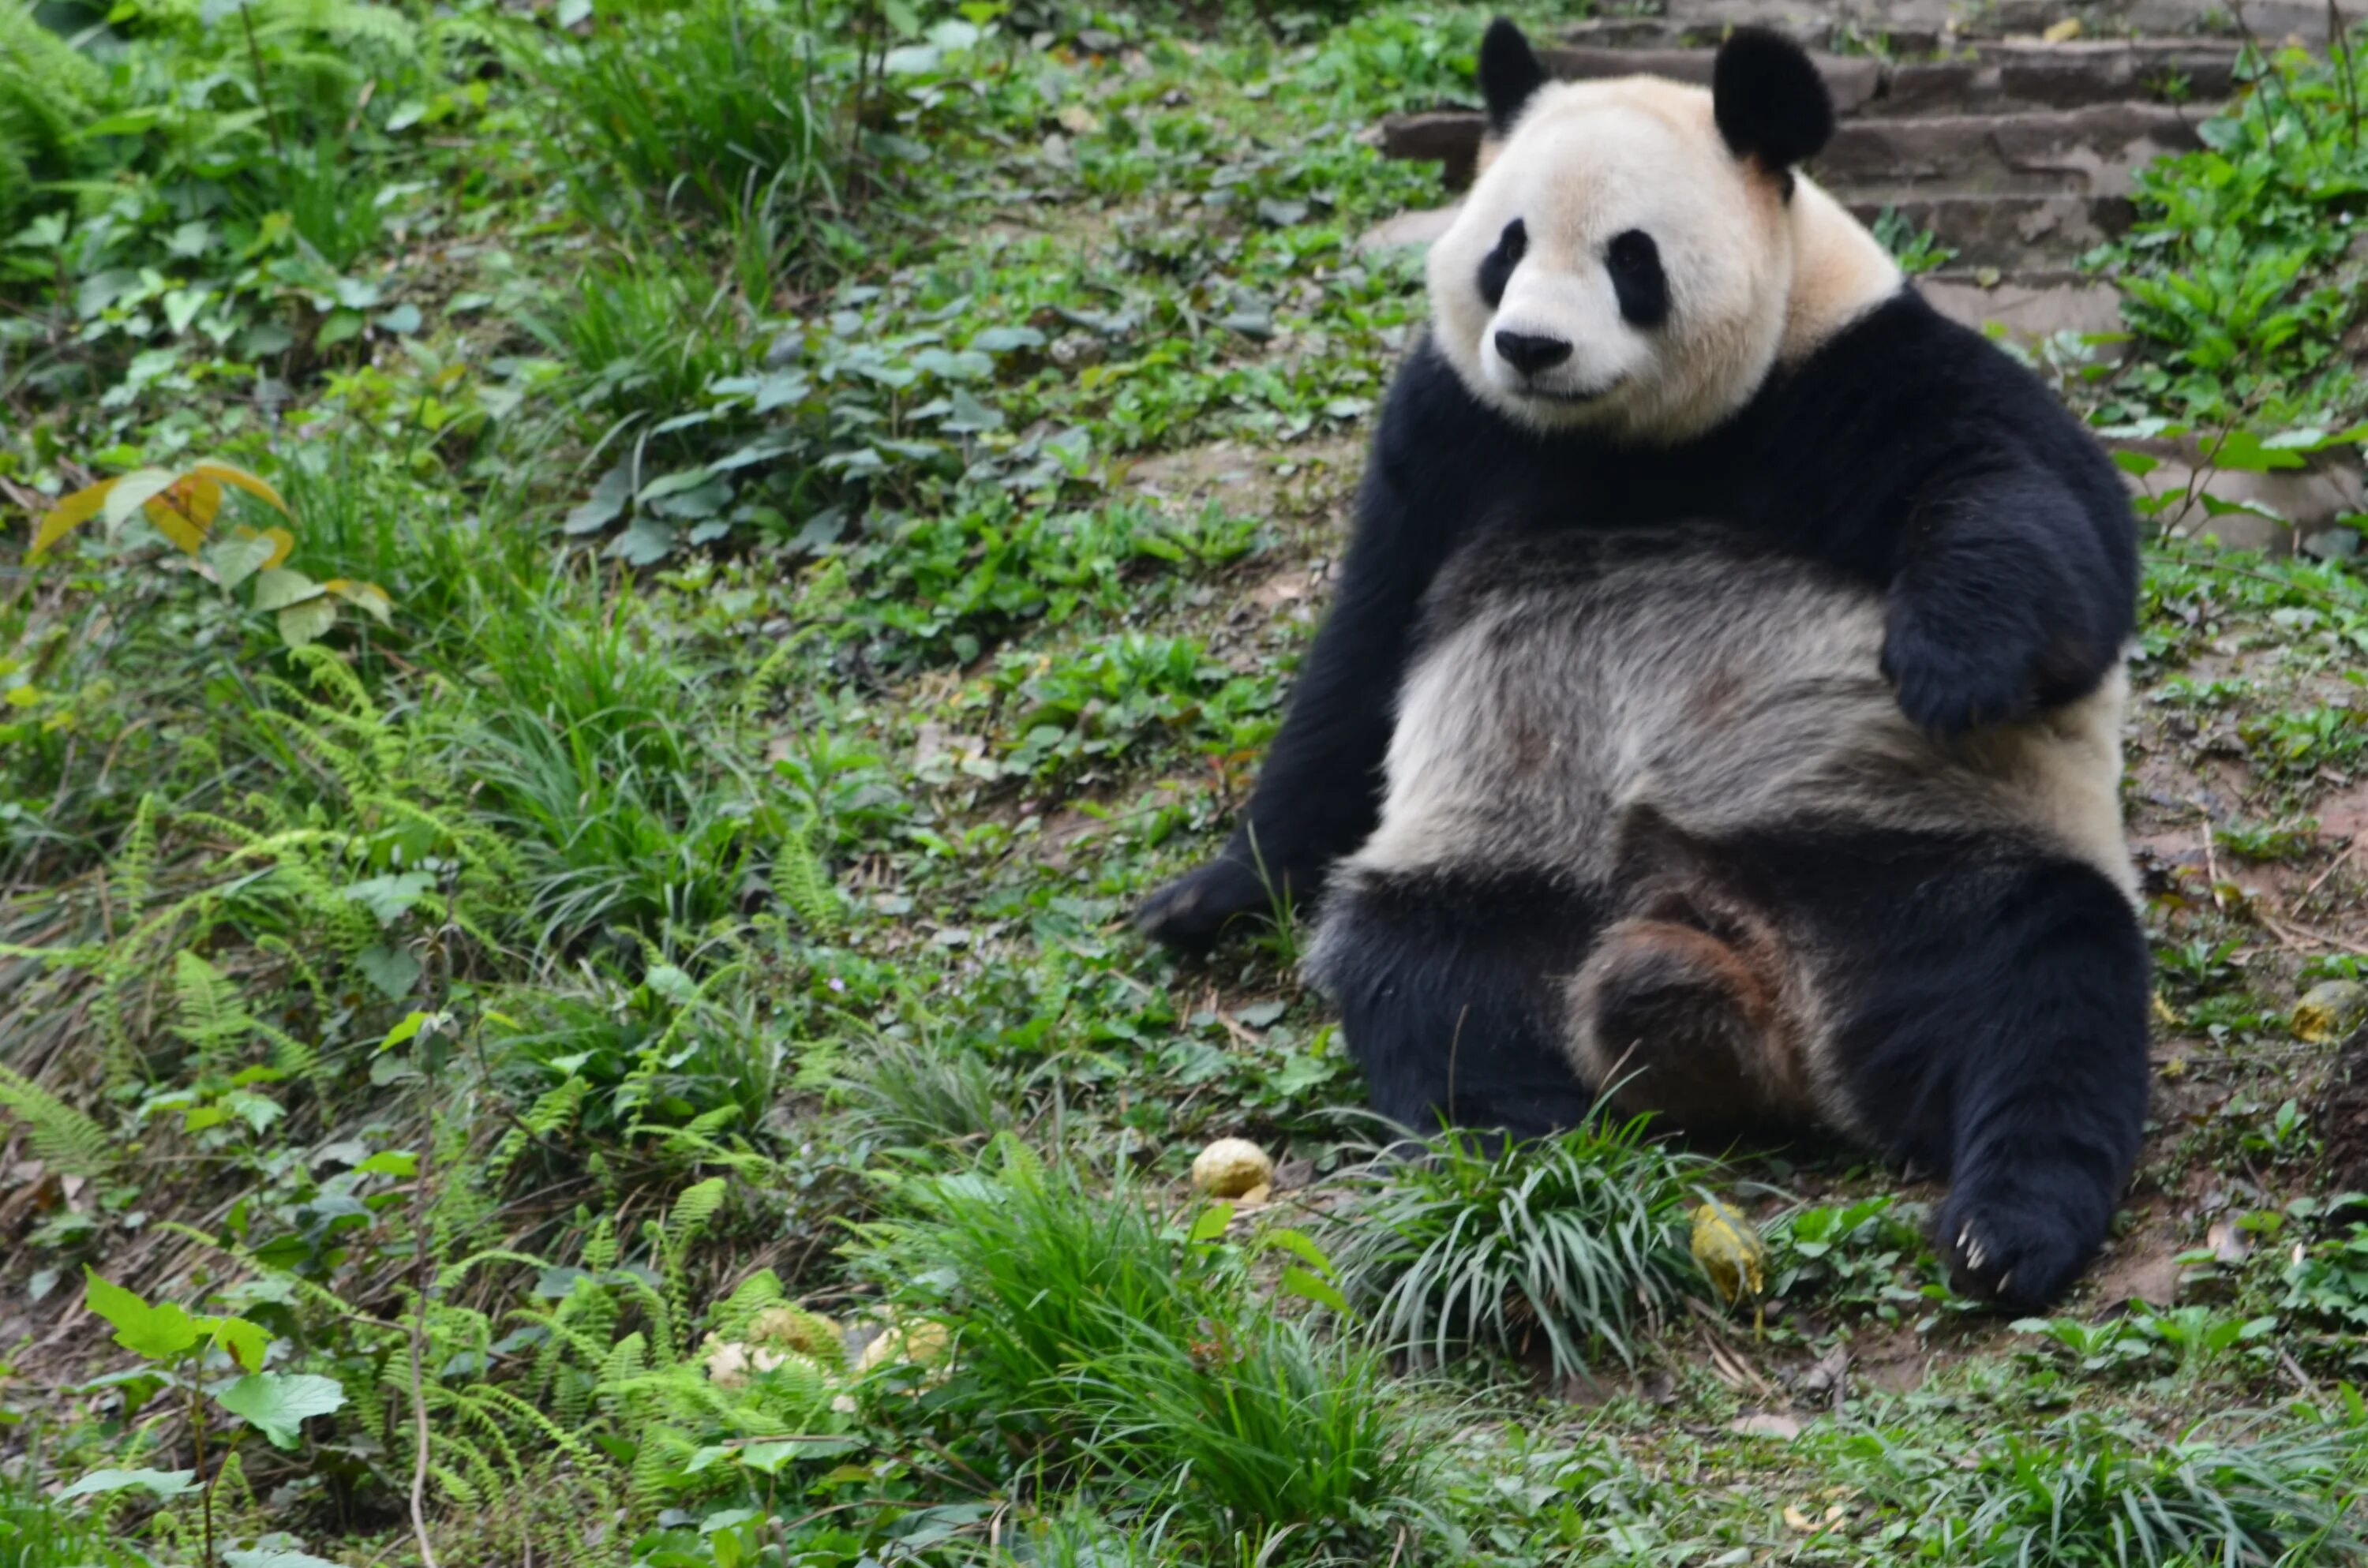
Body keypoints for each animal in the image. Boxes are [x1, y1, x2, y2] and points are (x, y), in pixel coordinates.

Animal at [1138, 20, 2149, 1311]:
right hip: (1520, 867)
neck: (1626, 438)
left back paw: (2007, 1229)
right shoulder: (1454, 430)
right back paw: (1522, 1157)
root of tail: (1754, 984)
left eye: (1631, 258)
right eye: (1507, 245)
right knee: (1432, 983)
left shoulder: (1851, 372)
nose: (1530, 345)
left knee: (2045, 985)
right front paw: (1206, 894)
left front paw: (1949, 666)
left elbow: (2046, 518)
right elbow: (1357, 662)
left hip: (1908, 858)